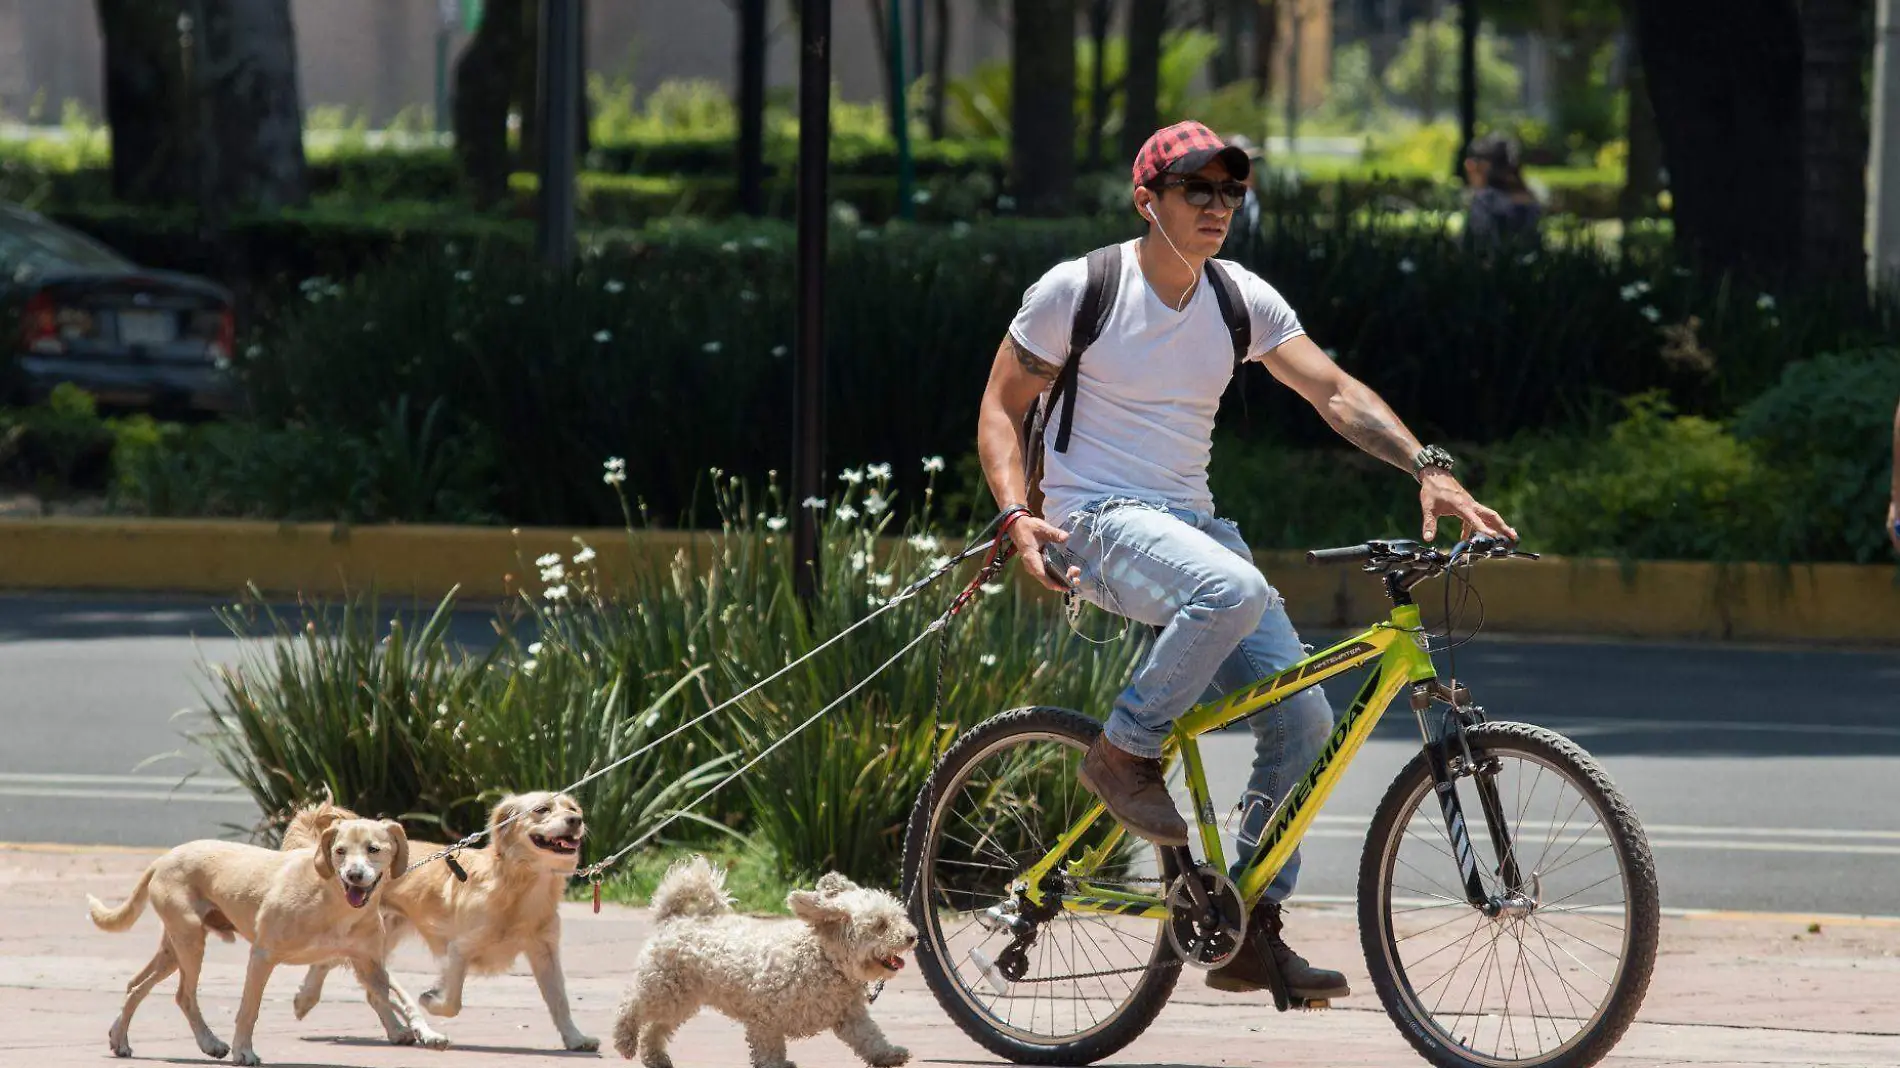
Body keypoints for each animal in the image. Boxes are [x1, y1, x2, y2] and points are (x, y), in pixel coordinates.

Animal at [285, 790, 596, 1048]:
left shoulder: (545, 952)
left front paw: (575, 1037)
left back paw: (392, 1029)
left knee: (361, 983)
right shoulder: (459, 949)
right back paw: (307, 1000)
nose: (576, 820)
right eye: (542, 809)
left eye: (572, 808)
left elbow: (559, 1001)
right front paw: (430, 999)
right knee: (337, 965)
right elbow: (452, 1002)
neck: (523, 887)